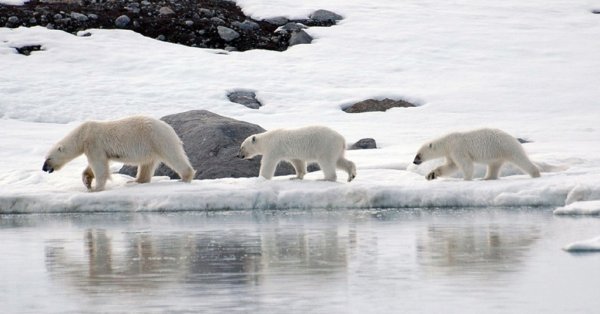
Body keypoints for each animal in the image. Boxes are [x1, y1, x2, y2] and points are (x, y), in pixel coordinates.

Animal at [43, 116, 196, 191]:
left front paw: (96, 188)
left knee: (173, 156)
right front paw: (87, 180)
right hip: (151, 146)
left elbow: (99, 165)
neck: (83, 133)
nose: (43, 168)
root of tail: (169, 128)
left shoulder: (94, 143)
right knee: (147, 164)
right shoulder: (97, 148)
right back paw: (136, 180)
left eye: (49, 158)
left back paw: (185, 177)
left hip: (158, 139)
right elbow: (97, 164)